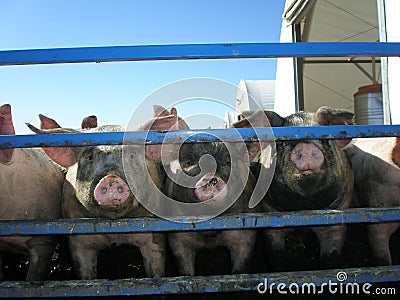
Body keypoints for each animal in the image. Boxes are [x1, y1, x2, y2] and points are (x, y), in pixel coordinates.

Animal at [27, 106, 187, 280]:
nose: (111, 179)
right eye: (90, 157)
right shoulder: (78, 239)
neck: (114, 227)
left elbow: (155, 269)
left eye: (131, 155)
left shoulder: (154, 233)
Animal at [164, 137, 258, 276]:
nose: (211, 177)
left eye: (227, 161)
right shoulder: (178, 236)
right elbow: (185, 271)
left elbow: (240, 268)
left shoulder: (244, 231)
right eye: (188, 162)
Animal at [233, 106, 354, 270]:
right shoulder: (269, 217)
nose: (305, 146)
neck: (302, 209)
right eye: (282, 143)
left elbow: (332, 256)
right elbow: (276, 254)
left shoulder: (338, 217)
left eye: (324, 139)